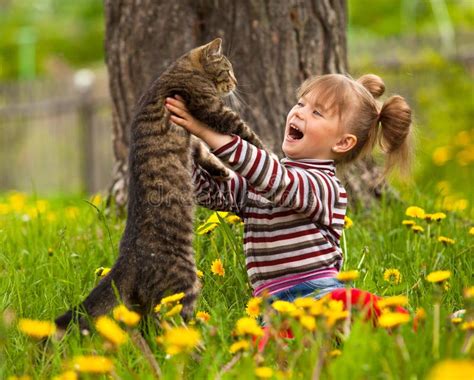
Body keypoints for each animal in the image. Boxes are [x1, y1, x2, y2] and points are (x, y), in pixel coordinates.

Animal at [54, 37, 266, 330]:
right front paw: (269, 151)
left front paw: (221, 171)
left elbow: (203, 151)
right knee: (168, 326)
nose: (235, 82)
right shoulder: (212, 108)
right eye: (227, 70)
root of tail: (125, 258)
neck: (181, 69)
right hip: (183, 283)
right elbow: (244, 132)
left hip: (142, 303)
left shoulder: (194, 139)